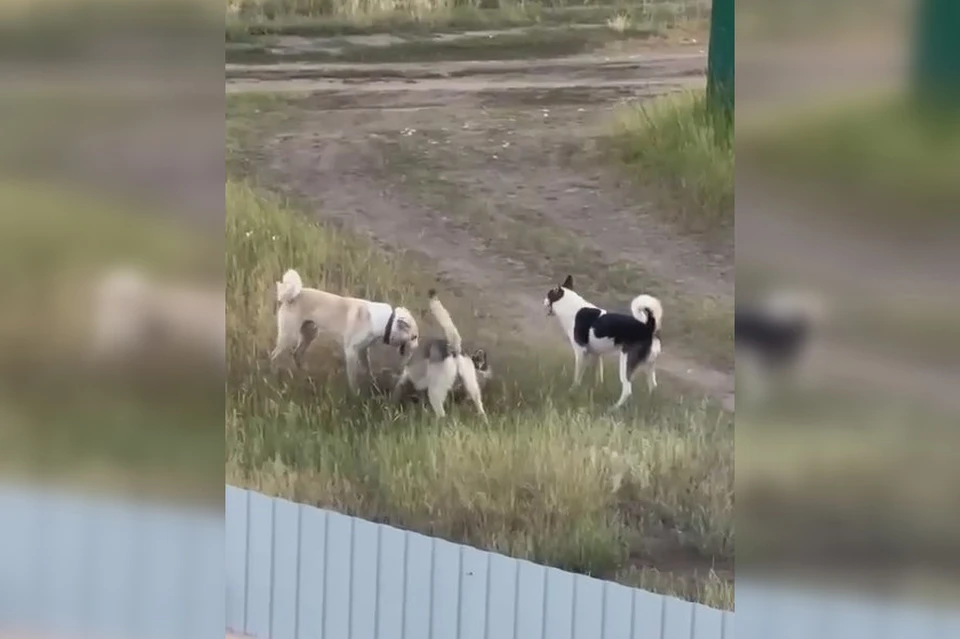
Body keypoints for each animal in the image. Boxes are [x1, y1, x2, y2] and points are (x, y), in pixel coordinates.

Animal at [270, 268, 420, 392]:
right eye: (414, 337)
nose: (418, 348)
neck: (385, 322)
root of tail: (292, 296)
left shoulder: (363, 350)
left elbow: (367, 369)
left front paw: (372, 383)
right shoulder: (351, 351)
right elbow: (353, 378)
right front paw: (355, 393)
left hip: (310, 334)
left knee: (297, 354)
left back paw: (303, 373)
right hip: (289, 336)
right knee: (274, 355)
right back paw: (272, 375)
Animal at [544, 276, 664, 410]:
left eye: (549, 294)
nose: (543, 300)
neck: (569, 305)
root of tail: (648, 327)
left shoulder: (581, 353)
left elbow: (577, 377)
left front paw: (573, 390)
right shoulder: (597, 355)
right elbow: (599, 376)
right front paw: (597, 389)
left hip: (625, 363)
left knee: (627, 390)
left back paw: (614, 408)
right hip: (649, 366)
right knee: (653, 387)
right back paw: (649, 405)